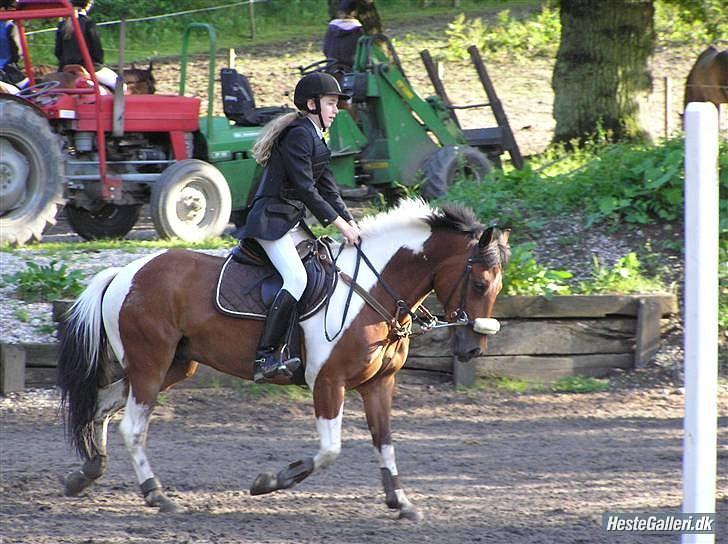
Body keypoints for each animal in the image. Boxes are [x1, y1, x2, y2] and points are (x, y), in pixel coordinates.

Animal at [57, 199, 510, 520]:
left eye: (497, 287)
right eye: (479, 283)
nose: (472, 349)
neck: (372, 289)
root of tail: (123, 273)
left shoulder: (379, 384)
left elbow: (384, 441)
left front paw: (400, 501)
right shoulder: (328, 382)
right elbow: (330, 449)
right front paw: (270, 481)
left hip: (173, 365)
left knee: (101, 406)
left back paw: (86, 473)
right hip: (150, 366)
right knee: (132, 427)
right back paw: (156, 494)